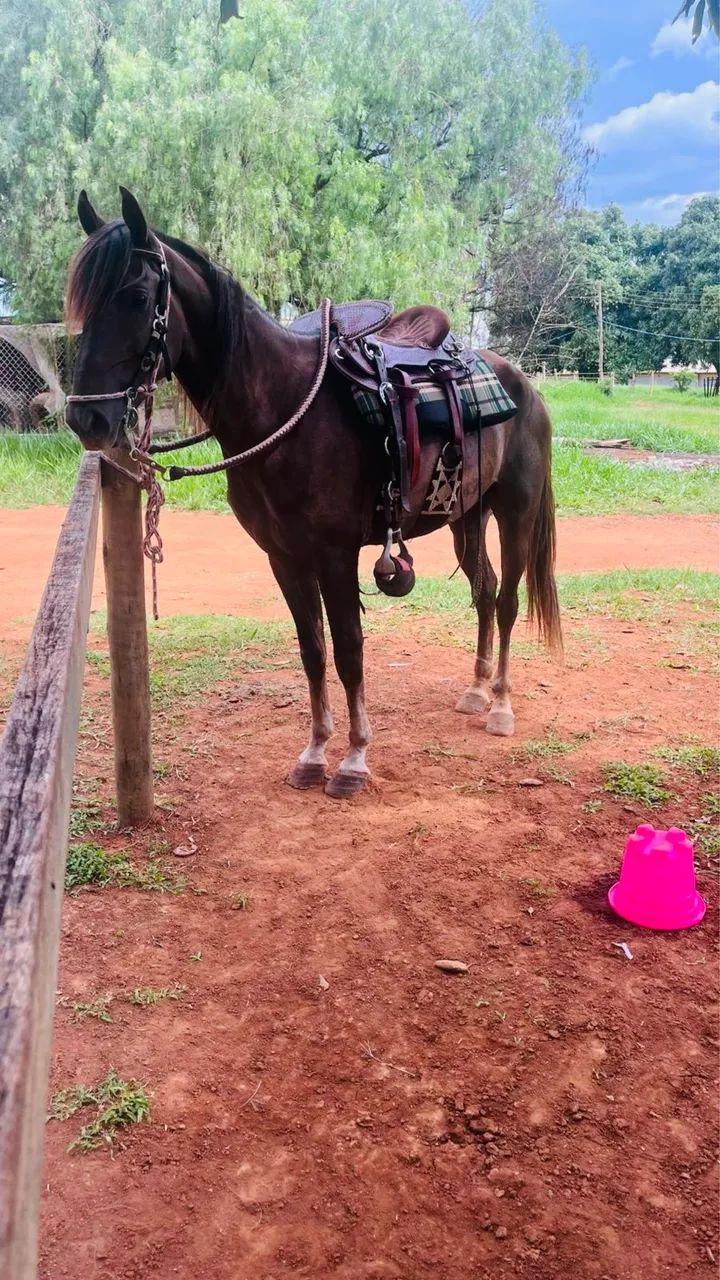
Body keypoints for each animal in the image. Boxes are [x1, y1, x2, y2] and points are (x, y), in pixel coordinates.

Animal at [65, 187, 562, 800]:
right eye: (80, 301)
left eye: (136, 297)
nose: (85, 418)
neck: (279, 407)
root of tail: (523, 385)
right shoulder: (283, 556)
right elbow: (312, 651)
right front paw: (314, 752)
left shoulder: (334, 555)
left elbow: (348, 650)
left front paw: (354, 760)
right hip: (465, 516)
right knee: (485, 592)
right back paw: (475, 690)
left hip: (515, 512)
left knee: (510, 599)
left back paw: (501, 705)